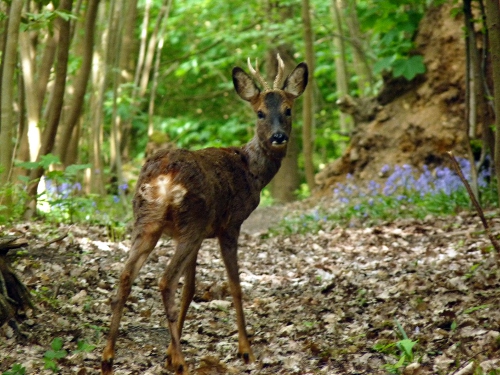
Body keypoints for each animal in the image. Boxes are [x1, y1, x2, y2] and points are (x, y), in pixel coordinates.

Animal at [99, 53, 306, 375]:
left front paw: (168, 353)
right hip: (190, 222)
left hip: (147, 222)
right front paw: (245, 350)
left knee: (125, 275)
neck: (251, 171)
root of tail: (163, 175)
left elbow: (191, 288)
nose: (278, 137)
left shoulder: (196, 236)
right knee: (165, 280)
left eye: (288, 109)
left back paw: (108, 356)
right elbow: (234, 285)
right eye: (260, 113)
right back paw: (182, 362)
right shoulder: (230, 224)